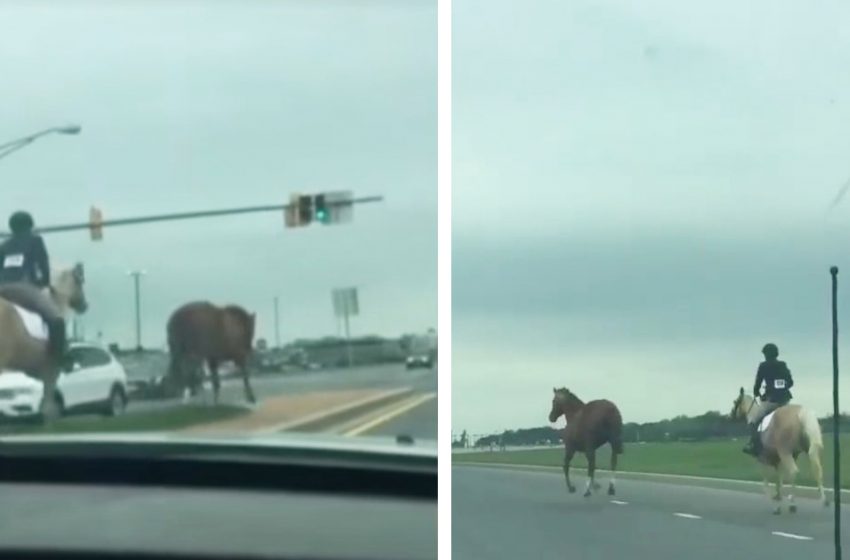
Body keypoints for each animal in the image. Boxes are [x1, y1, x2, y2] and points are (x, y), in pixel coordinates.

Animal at [724, 388, 824, 516]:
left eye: (735, 402)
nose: (731, 416)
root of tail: (800, 413)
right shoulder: (778, 462)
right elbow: (778, 480)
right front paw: (778, 496)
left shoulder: (762, 460)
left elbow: (765, 483)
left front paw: (775, 505)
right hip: (807, 450)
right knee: (817, 470)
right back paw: (824, 500)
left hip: (785, 453)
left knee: (794, 472)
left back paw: (793, 504)